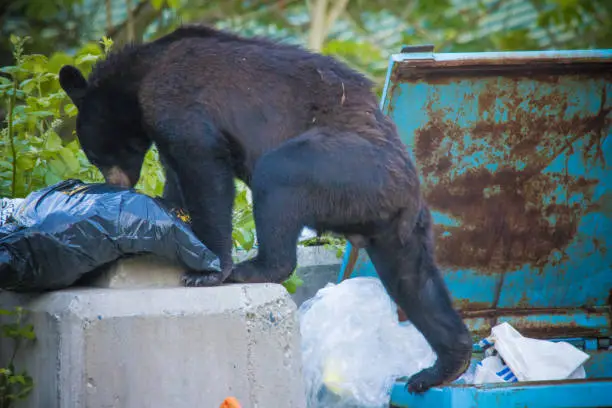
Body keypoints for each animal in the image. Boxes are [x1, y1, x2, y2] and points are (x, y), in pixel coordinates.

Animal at [57, 24, 470, 392]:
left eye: (94, 153)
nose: (117, 183)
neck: (142, 76)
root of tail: (405, 189)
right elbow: (175, 175)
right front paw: (167, 210)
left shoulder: (177, 102)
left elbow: (203, 166)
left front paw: (209, 269)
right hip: (395, 221)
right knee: (414, 281)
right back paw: (442, 366)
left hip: (346, 167)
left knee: (277, 177)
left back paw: (254, 267)